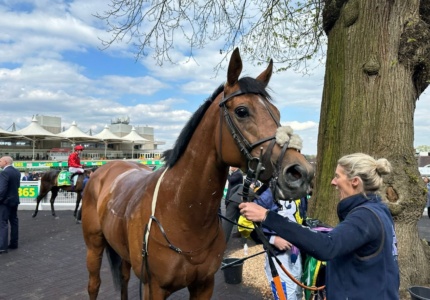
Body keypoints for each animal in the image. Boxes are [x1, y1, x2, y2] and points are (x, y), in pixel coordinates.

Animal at [82, 48, 314, 298]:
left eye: (277, 113)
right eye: (242, 111)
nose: (300, 172)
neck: (183, 214)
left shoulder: (204, 284)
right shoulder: (153, 287)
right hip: (94, 246)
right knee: (94, 284)